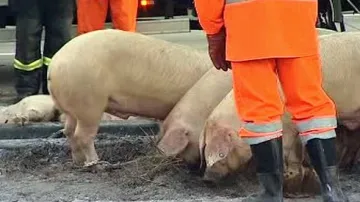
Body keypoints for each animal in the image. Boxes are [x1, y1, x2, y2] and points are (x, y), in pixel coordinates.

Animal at [48, 28, 214, 167]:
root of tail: (53, 65)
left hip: (72, 107)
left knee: (69, 131)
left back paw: (78, 161)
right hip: (89, 103)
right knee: (82, 135)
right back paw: (97, 162)